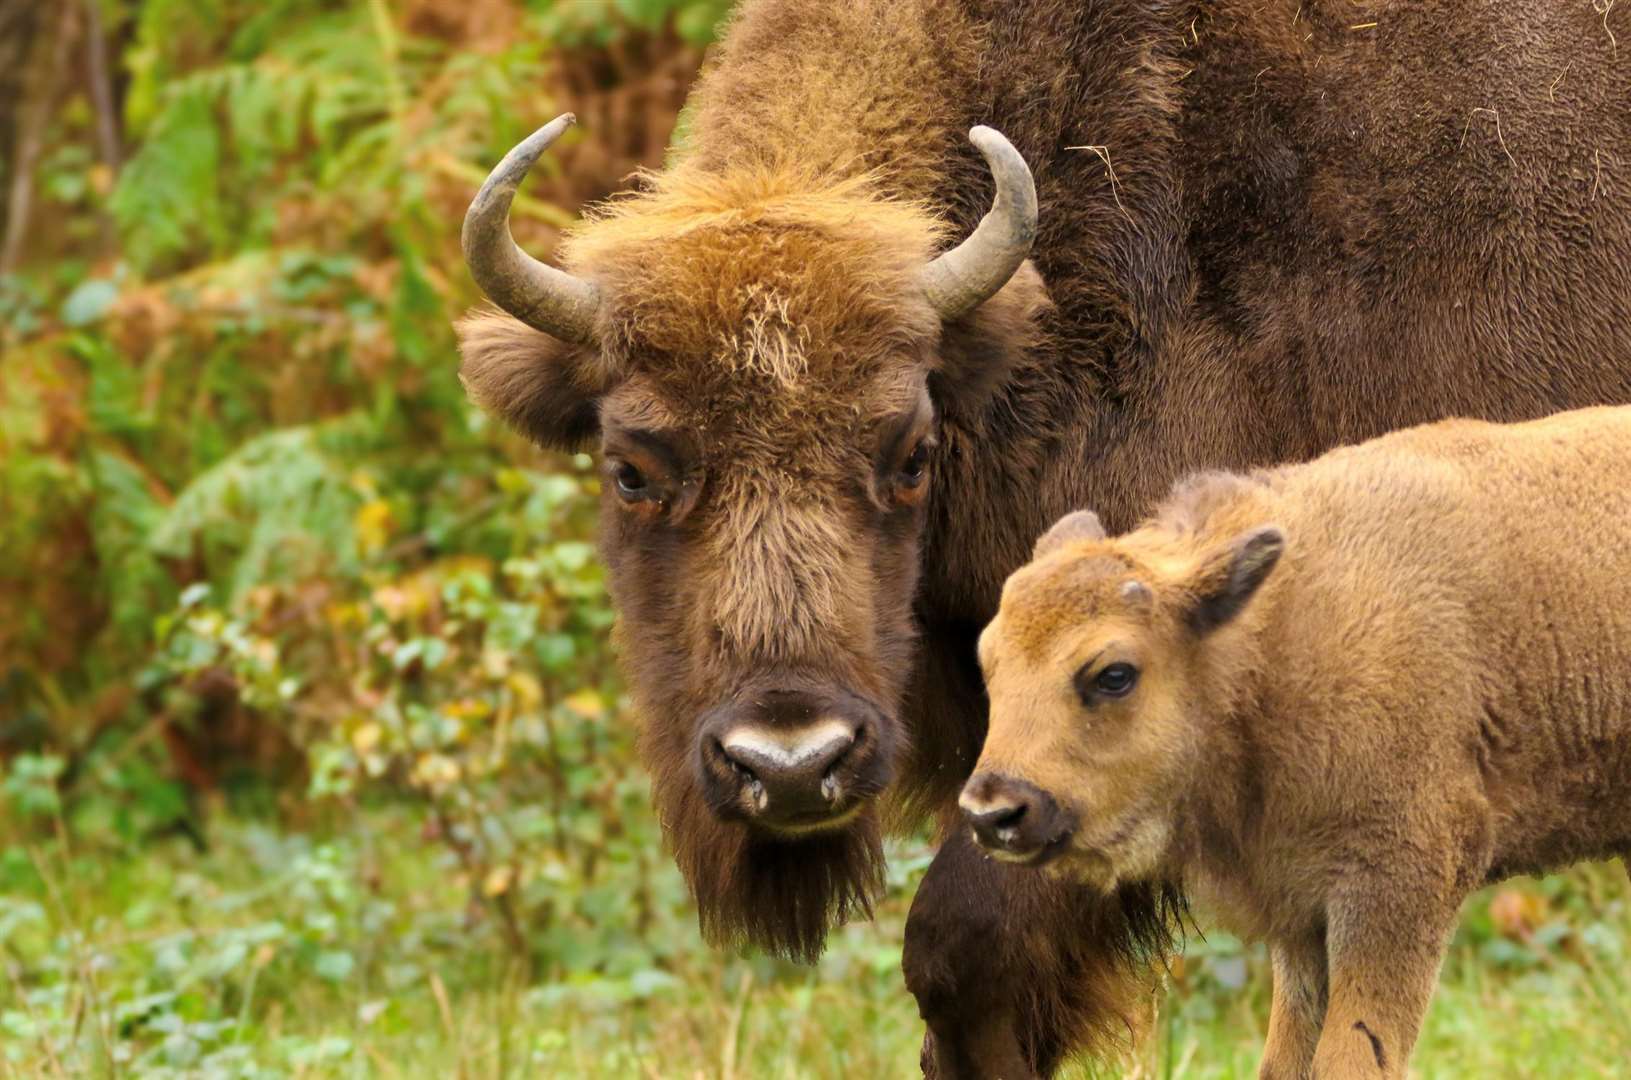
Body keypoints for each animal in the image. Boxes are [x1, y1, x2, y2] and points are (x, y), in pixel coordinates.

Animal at [959, 407, 1631, 1080]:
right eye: (989, 659)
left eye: (1114, 674)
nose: (993, 811)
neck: (1267, 639)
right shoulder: (1300, 914)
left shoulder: (1395, 888)